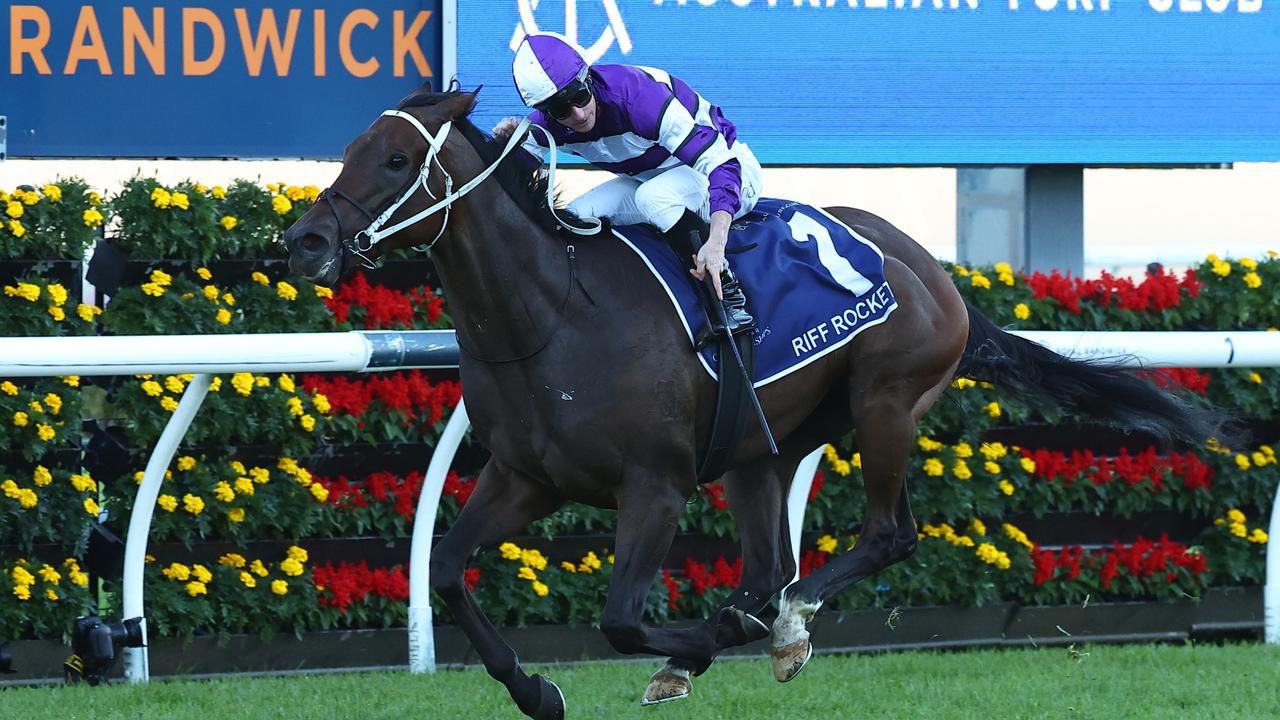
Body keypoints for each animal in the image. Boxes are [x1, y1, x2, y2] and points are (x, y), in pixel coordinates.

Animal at [285, 87, 1223, 712]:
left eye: (397, 160)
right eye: (349, 149)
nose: (305, 240)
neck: (553, 315)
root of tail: (931, 269)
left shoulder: (655, 487)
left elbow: (622, 619)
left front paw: (718, 636)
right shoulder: (526, 478)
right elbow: (446, 567)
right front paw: (535, 689)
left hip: (886, 400)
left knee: (882, 537)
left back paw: (784, 622)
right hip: (761, 449)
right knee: (772, 562)